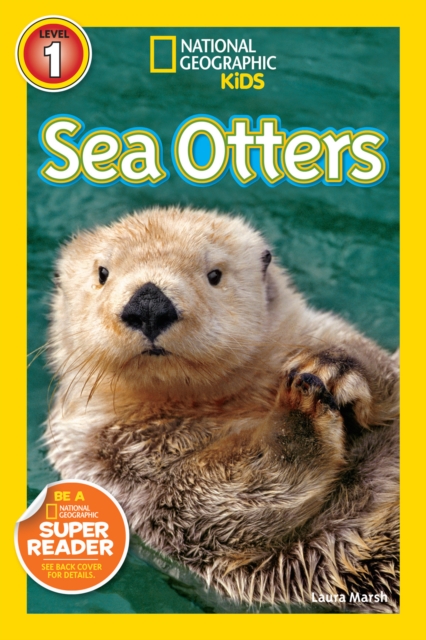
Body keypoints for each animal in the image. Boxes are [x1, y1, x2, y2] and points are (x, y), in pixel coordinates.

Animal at [46, 206, 399, 612]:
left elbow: (388, 372)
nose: (148, 305)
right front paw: (299, 411)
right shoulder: (112, 463)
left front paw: (333, 366)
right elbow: (216, 498)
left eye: (214, 274)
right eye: (102, 273)